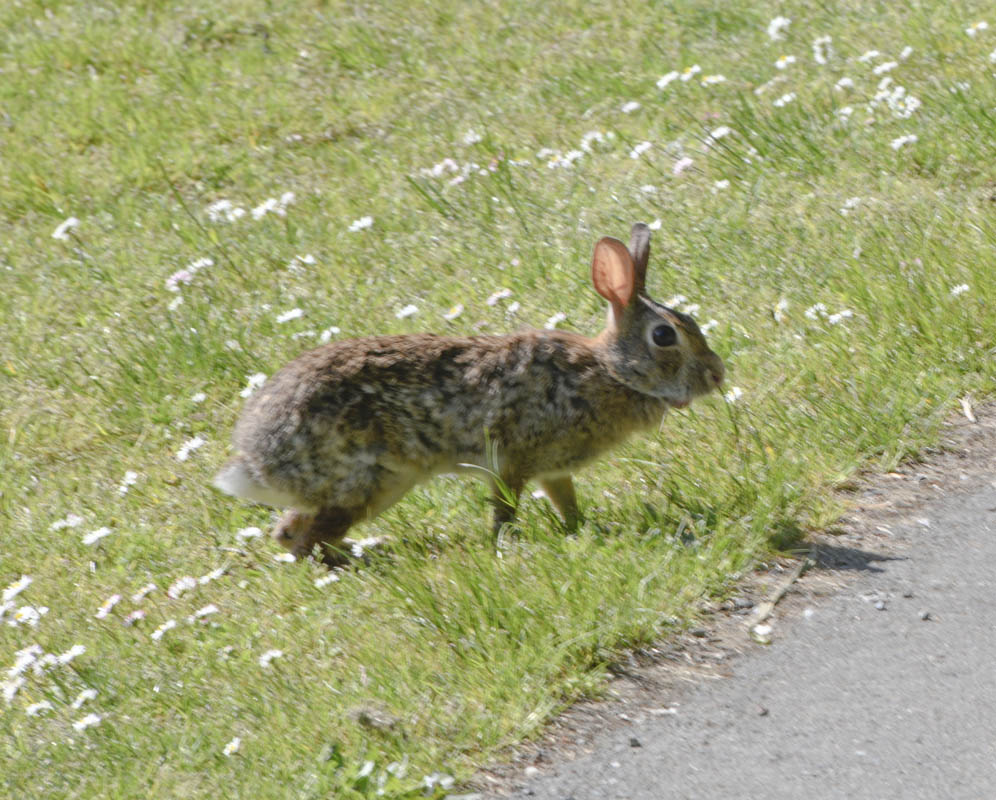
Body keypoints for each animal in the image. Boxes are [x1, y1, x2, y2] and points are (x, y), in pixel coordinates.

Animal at [213, 223, 725, 565]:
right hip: (364, 483)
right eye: (665, 336)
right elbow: (505, 510)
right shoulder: (511, 461)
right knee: (306, 541)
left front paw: (579, 530)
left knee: (289, 534)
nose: (717, 376)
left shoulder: (553, 470)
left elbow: (566, 502)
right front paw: (504, 544)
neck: (611, 372)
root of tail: (254, 457)